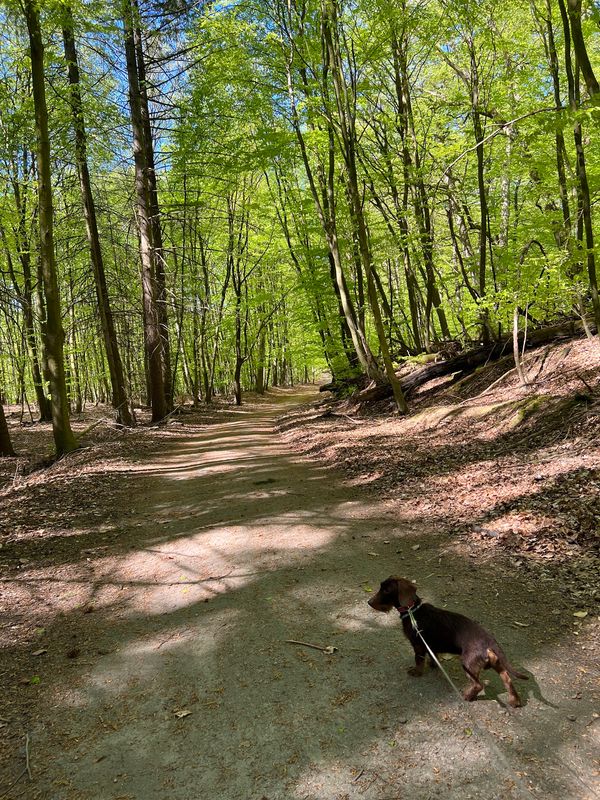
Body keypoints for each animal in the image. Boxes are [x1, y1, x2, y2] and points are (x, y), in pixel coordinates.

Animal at [368, 576, 528, 708]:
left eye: (386, 590)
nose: (369, 602)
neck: (413, 611)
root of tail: (489, 641)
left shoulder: (418, 645)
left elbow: (419, 661)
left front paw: (417, 672)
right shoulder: (430, 646)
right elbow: (433, 657)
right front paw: (433, 665)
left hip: (468, 664)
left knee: (479, 685)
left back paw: (466, 696)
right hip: (496, 663)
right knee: (507, 679)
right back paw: (515, 701)